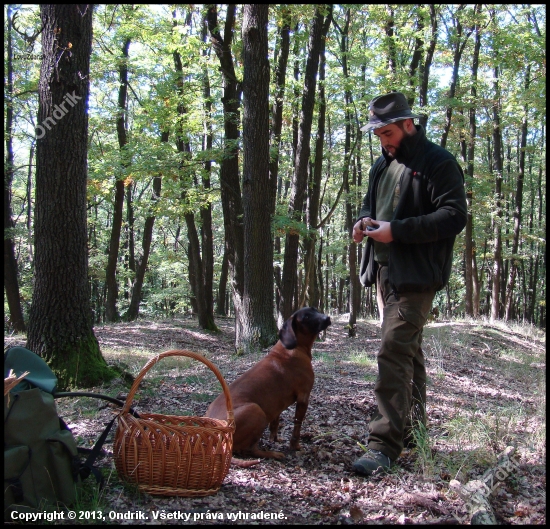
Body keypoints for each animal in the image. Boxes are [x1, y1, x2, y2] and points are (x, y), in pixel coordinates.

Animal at [205, 306, 330, 466]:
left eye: (315, 309)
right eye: (306, 317)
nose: (327, 318)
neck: (294, 347)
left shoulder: (276, 404)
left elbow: (275, 423)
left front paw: (275, 439)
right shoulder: (303, 398)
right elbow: (297, 426)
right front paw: (295, 446)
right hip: (256, 411)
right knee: (248, 450)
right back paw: (273, 454)